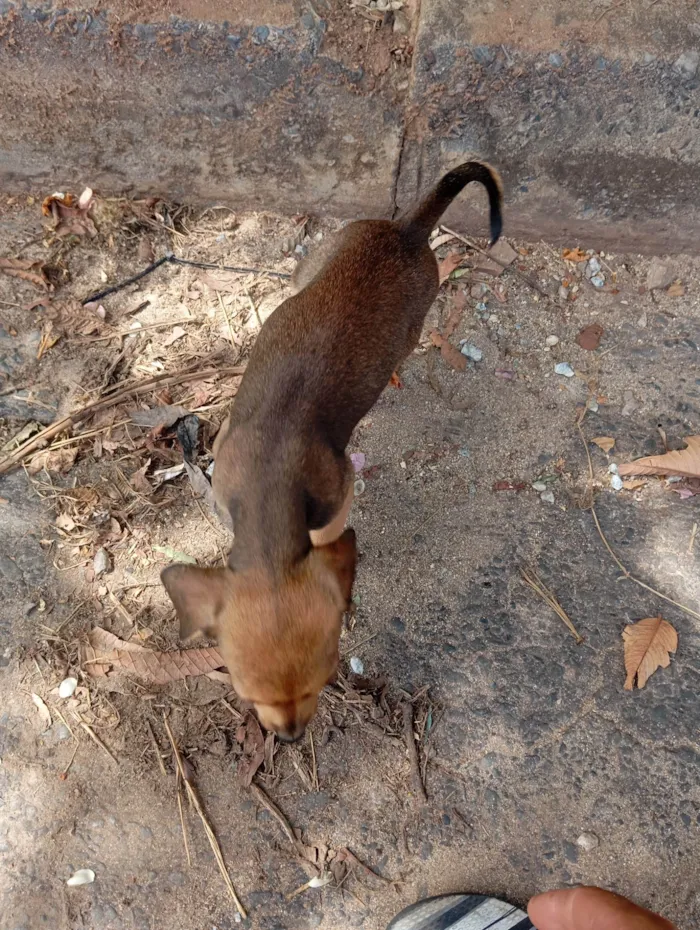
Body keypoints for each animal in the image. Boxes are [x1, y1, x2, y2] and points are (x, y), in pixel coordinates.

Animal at [163, 161, 504, 740]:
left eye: (322, 683)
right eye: (247, 694)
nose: (290, 736)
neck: (267, 486)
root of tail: (406, 230)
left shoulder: (338, 495)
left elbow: (327, 539)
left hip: (408, 323)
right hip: (318, 263)